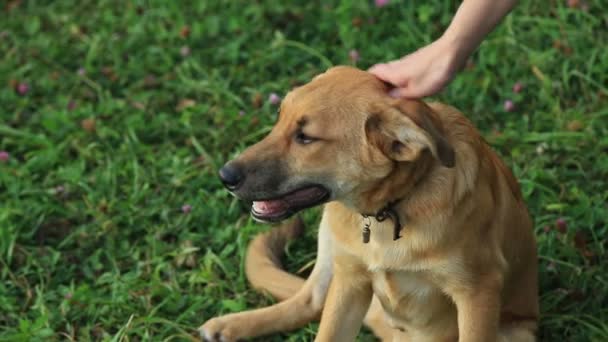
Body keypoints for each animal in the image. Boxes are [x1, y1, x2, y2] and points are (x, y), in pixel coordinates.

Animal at [200, 67, 536, 342]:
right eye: (279, 118)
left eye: (305, 137)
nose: (224, 176)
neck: (388, 210)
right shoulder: (350, 282)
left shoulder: (477, 292)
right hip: (331, 245)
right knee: (310, 302)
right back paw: (229, 325)